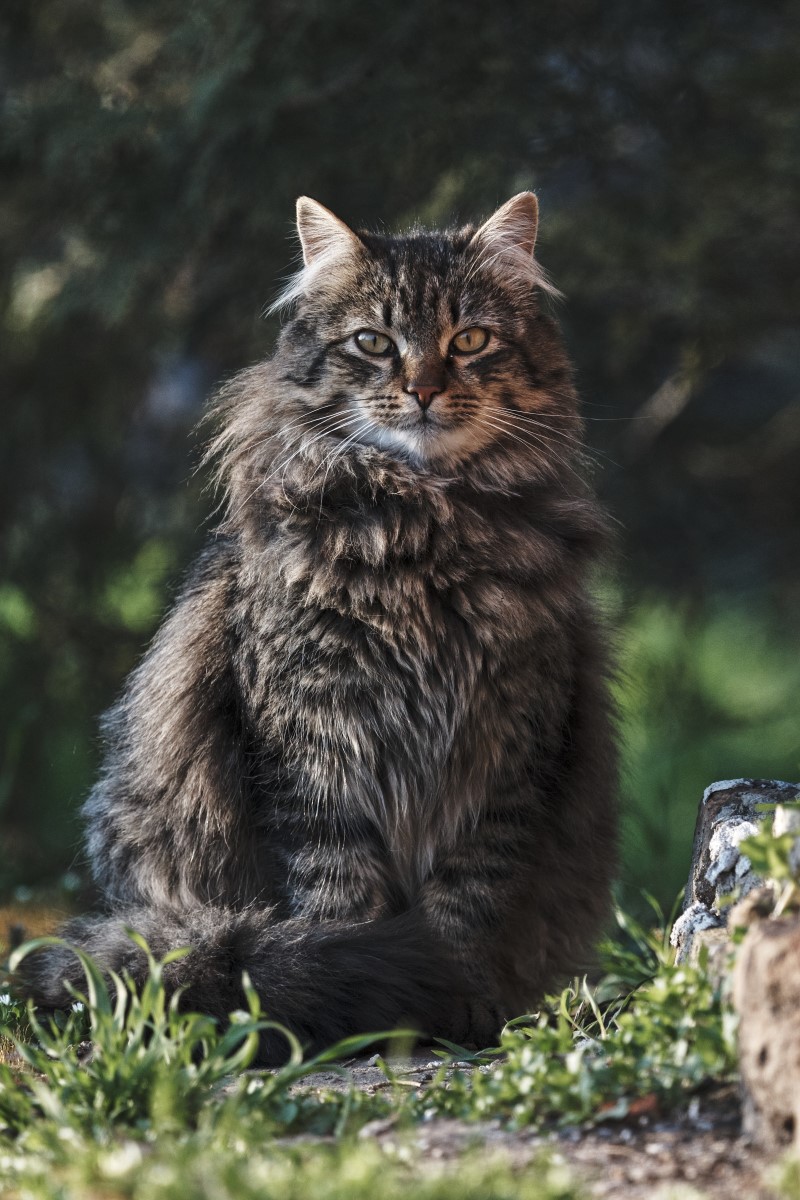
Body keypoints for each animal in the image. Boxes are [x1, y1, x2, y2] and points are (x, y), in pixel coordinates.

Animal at [20, 192, 618, 1065]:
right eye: (373, 343)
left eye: (469, 341)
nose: (424, 390)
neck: (423, 535)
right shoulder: (311, 742)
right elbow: (338, 890)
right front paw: (365, 995)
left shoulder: (505, 747)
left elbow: (468, 899)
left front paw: (460, 1000)